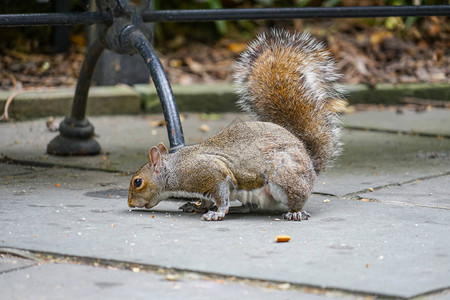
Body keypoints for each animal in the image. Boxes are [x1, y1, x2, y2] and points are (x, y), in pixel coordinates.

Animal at [128, 28, 346, 220]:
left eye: (137, 182)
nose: (130, 203)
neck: (173, 170)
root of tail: (310, 163)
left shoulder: (212, 172)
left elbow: (221, 193)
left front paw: (218, 212)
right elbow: (208, 199)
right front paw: (197, 206)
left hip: (285, 177)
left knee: (295, 199)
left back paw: (295, 212)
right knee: (250, 207)